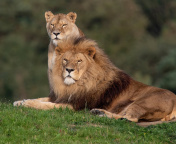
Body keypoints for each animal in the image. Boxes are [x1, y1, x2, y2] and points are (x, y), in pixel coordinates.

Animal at [13, 36, 176, 126]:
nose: (69, 70)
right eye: (65, 60)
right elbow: (40, 99)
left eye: (79, 61)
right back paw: (99, 112)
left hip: (142, 102)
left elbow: (45, 105)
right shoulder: (62, 96)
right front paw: (20, 101)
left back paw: (100, 113)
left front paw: (26, 104)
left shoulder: (73, 106)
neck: (75, 85)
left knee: (130, 119)